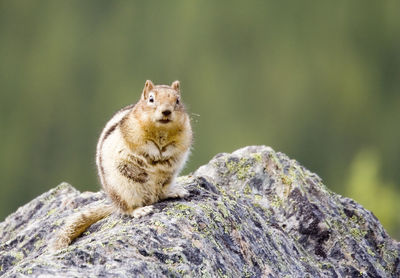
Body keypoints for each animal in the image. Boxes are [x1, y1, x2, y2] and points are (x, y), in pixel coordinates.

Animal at [52, 80, 193, 250]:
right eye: (151, 99)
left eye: (177, 100)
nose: (166, 111)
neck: (161, 131)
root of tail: (115, 204)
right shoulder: (134, 132)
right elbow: (144, 144)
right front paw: (155, 154)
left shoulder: (184, 133)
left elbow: (177, 145)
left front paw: (164, 154)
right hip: (126, 190)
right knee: (129, 209)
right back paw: (141, 210)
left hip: (165, 181)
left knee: (160, 194)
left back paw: (176, 191)